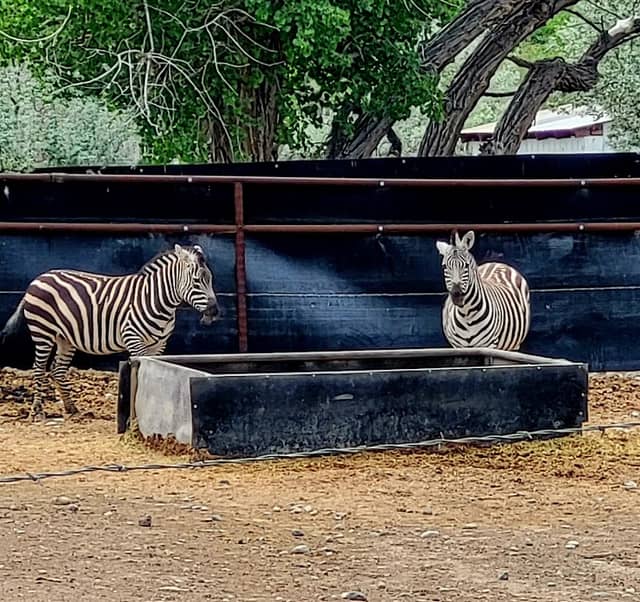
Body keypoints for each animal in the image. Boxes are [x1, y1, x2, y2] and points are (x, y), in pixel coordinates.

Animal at [0, 244, 220, 419]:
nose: (214, 311)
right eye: (196, 281)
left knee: (58, 369)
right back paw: (37, 411)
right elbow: (138, 375)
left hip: (65, 337)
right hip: (43, 332)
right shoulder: (134, 340)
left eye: (210, 279)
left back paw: (72, 409)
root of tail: (38, 278)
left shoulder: (158, 345)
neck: (156, 299)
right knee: (39, 369)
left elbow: (154, 373)